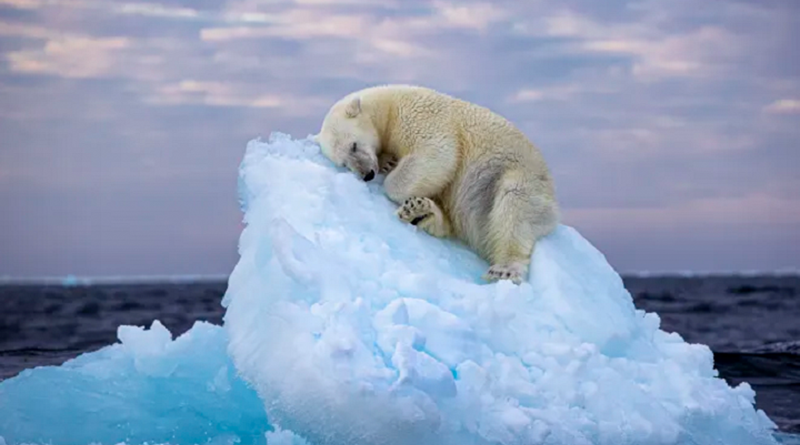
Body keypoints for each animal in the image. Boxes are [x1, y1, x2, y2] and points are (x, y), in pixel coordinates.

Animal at [315, 84, 560, 284]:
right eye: (344, 163)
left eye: (353, 145)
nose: (367, 174)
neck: (388, 105)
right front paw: (388, 162)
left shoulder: (419, 116)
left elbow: (438, 154)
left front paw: (391, 176)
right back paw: (421, 212)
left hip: (518, 177)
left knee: (514, 206)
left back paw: (504, 269)